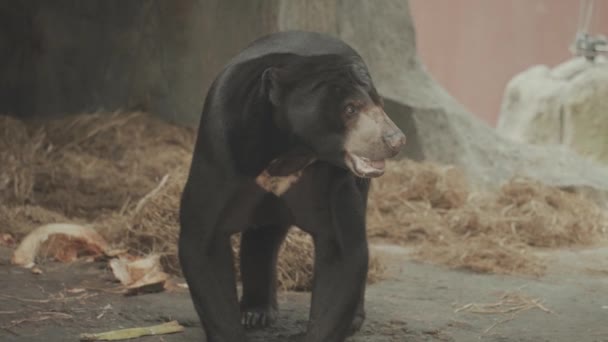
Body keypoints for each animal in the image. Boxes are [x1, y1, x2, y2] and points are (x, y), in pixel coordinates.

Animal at [180, 30, 408, 342]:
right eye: (350, 109)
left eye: (380, 103)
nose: (395, 140)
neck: (291, 149)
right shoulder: (222, 155)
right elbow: (204, 242)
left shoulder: (332, 181)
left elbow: (342, 252)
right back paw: (255, 312)